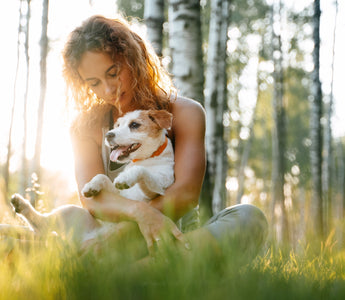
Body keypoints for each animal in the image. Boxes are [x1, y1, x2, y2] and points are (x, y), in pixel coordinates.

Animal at [8, 109, 175, 247]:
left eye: (135, 125)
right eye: (118, 125)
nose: (109, 134)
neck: (145, 159)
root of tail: (73, 243)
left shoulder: (157, 190)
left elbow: (142, 172)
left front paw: (125, 178)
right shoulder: (119, 194)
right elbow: (102, 177)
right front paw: (91, 186)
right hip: (69, 211)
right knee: (42, 224)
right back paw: (21, 204)